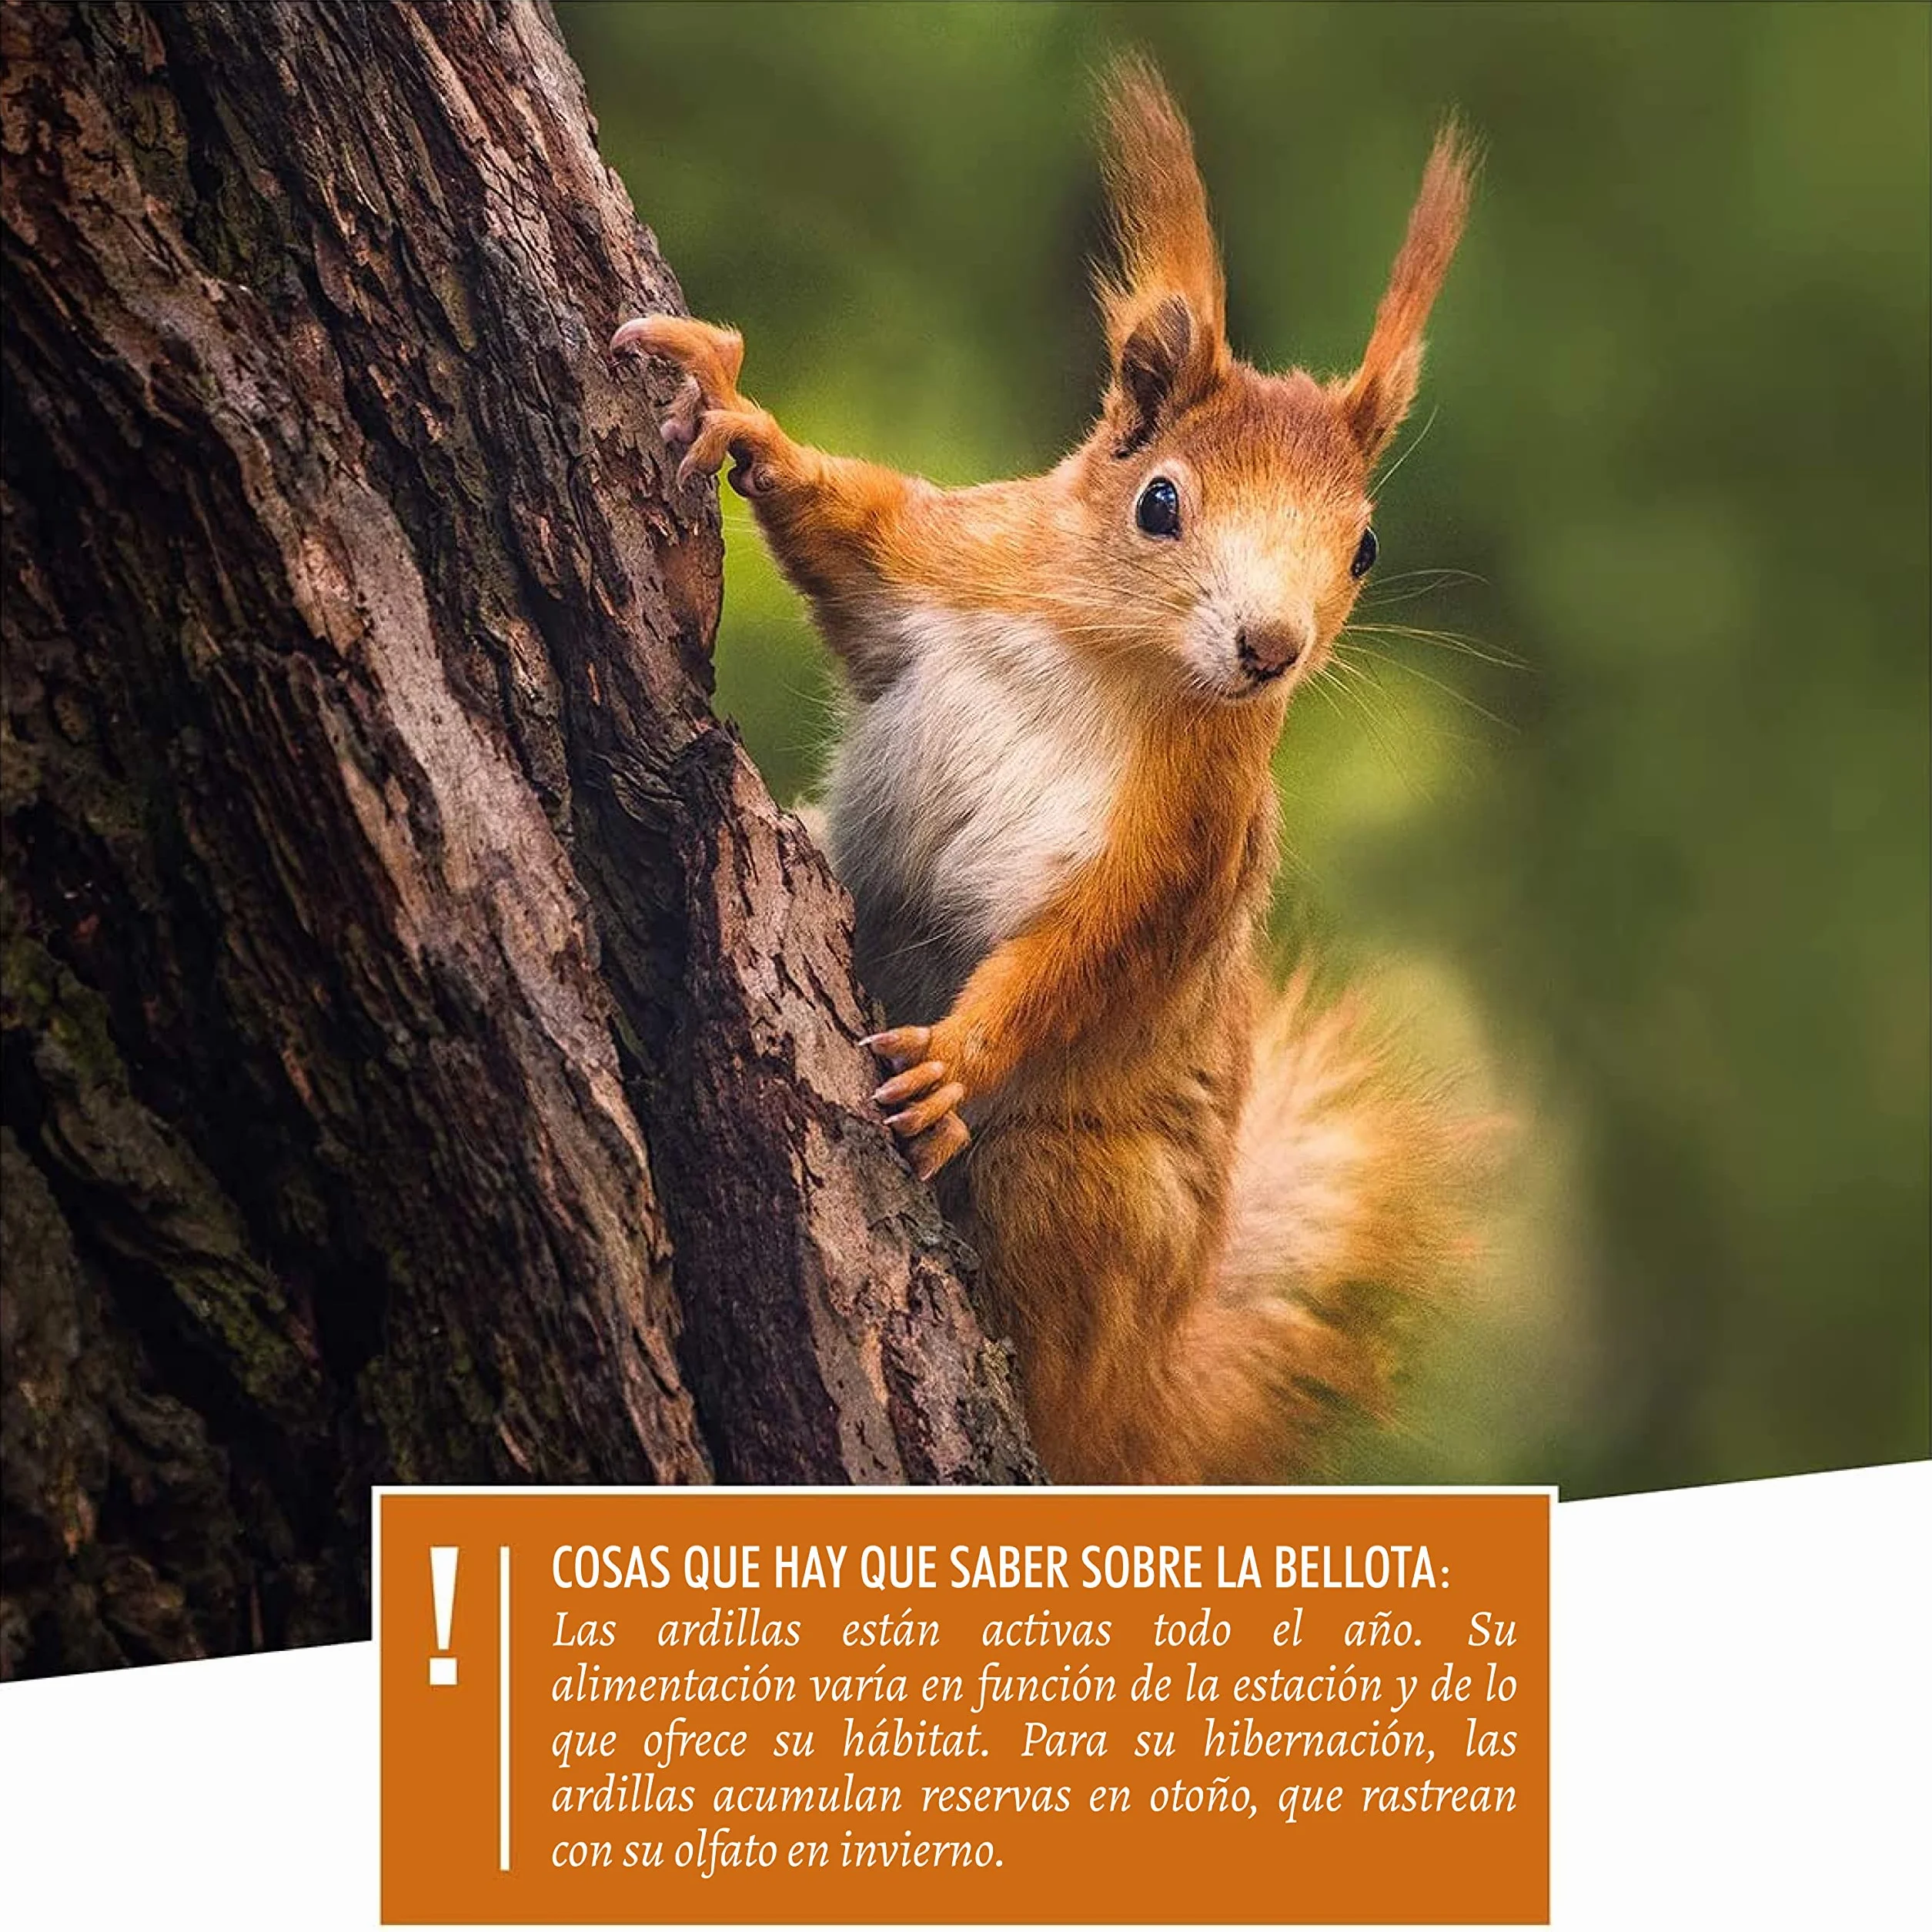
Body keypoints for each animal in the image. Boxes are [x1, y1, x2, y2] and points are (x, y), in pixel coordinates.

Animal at [614, 57, 1483, 1484]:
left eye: (1361, 549)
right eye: (1159, 502)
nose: (1270, 650)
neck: (1112, 658)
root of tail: (1144, 1391)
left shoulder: (1186, 842)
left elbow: (1089, 952)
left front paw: (957, 1060)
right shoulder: (946, 560)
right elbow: (845, 527)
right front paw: (745, 419)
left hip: (1084, 1197)